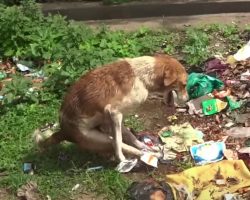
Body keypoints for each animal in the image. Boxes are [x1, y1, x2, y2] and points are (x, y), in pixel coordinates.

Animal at [34, 54, 188, 162]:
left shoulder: (115, 118)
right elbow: (119, 143)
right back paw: (151, 154)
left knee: (132, 141)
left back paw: (149, 149)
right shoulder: (114, 112)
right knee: (120, 144)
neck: (142, 75)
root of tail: (63, 131)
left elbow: (128, 137)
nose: (187, 101)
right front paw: (121, 160)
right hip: (100, 138)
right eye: (184, 84)